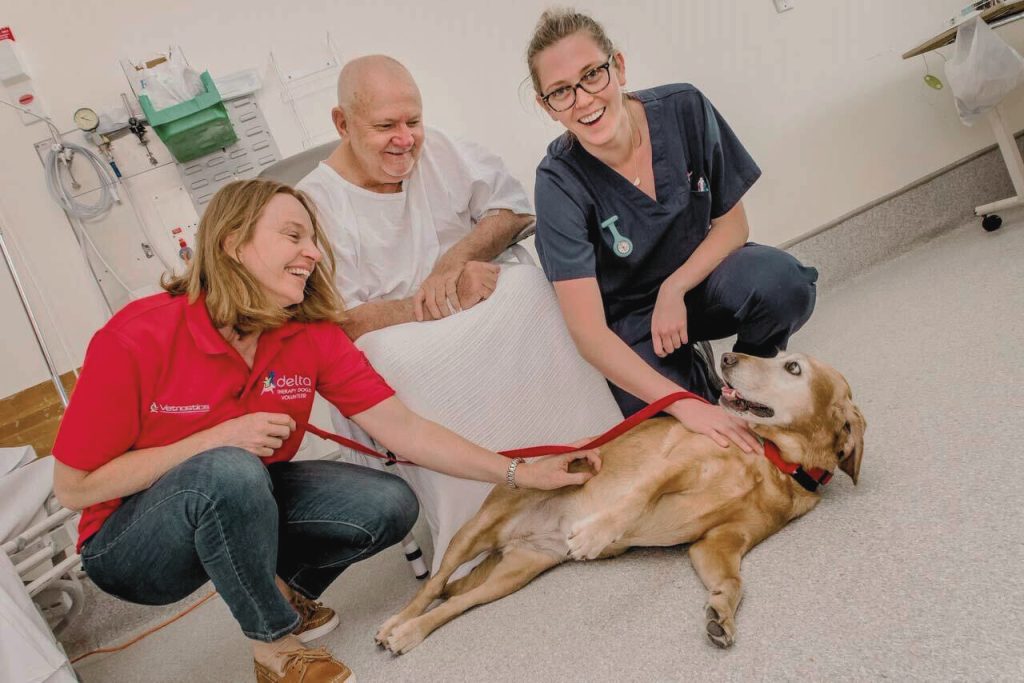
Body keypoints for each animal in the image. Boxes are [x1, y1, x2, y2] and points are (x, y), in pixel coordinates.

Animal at [376, 352, 864, 651]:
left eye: (793, 367)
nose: (726, 357)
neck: (771, 460)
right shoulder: (675, 464)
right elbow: (635, 499)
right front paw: (595, 534)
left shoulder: (719, 541)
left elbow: (734, 582)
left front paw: (721, 614)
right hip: (472, 533)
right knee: (433, 585)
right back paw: (397, 624)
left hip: (513, 576)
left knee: (457, 602)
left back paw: (415, 629)